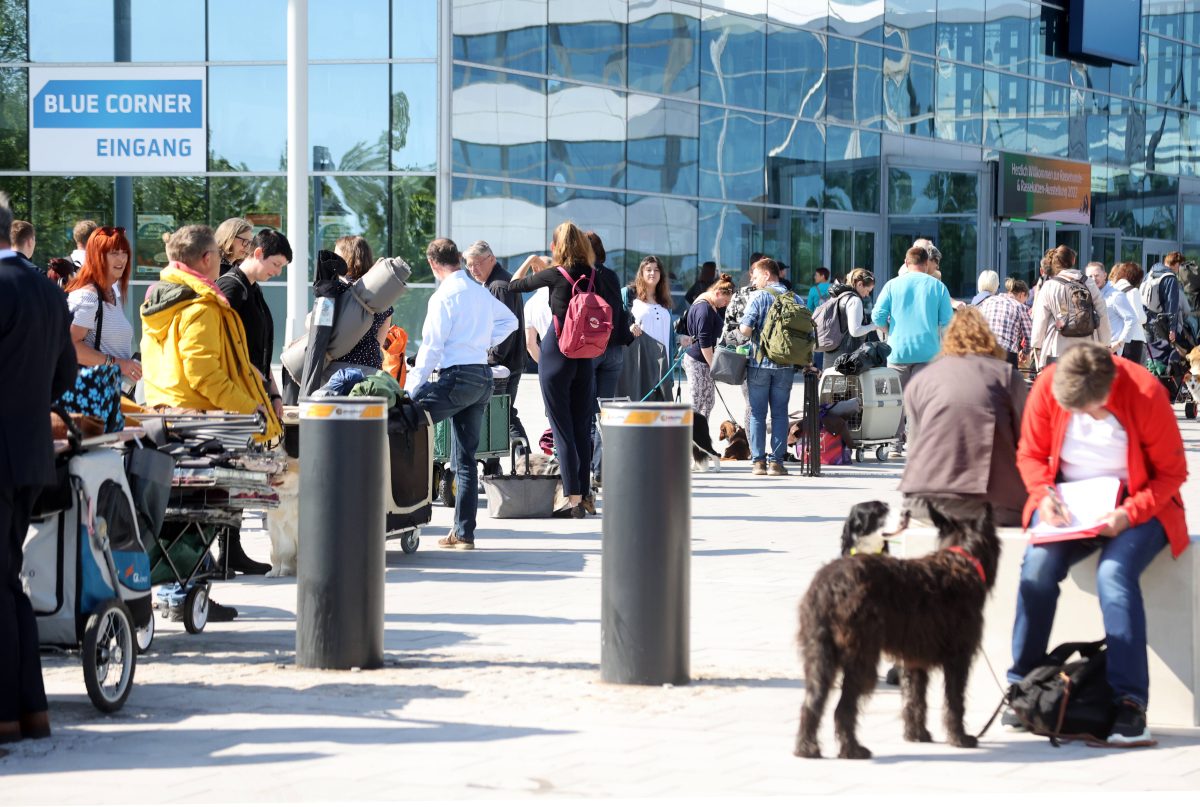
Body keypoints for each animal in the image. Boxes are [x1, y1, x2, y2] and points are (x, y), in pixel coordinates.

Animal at [796, 501, 1003, 758]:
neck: (960, 561)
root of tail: (828, 586)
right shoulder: (958, 658)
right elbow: (955, 700)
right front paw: (960, 738)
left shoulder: (915, 659)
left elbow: (916, 697)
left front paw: (917, 734)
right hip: (861, 657)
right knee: (843, 708)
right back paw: (852, 749)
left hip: (819, 654)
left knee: (812, 701)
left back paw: (807, 748)